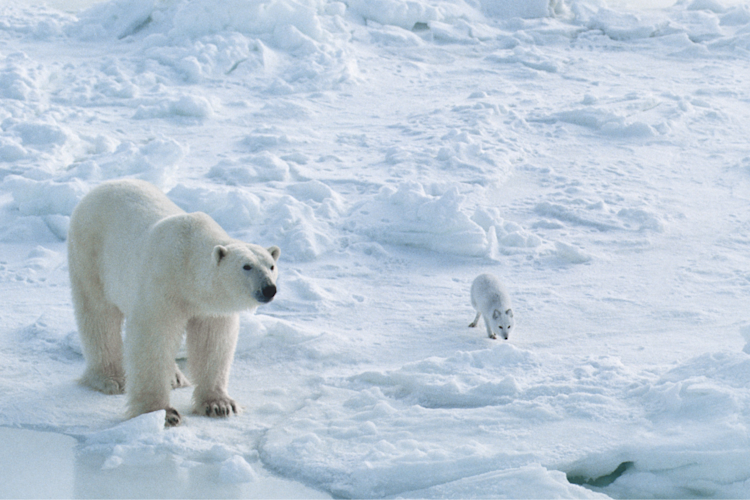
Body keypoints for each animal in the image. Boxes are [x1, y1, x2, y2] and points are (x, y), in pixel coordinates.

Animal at [68, 178, 280, 427]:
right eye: (246, 266)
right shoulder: (163, 284)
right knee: (97, 314)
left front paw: (219, 405)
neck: (188, 262)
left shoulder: (209, 307)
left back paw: (175, 377)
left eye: (271, 265)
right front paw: (162, 413)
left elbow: (213, 342)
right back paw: (111, 378)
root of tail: (101, 186)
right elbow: (154, 338)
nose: (269, 289)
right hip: (90, 252)